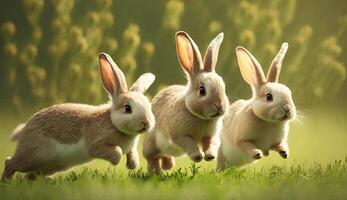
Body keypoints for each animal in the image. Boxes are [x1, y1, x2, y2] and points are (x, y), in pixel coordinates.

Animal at [1, 52, 156, 180]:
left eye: (149, 106)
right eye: (127, 108)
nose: (146, 123)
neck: (113, 122)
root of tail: (24, 129)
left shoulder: (131, 148)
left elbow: (132, 154)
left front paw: (131, 165)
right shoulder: (95, 144)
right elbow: (116, 153)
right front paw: (118, 161)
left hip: (48, 165)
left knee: (29, 175)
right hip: (34, 155)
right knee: (10, 163)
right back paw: (6, 182)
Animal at [143, 30, 230, 173]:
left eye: (223, 87)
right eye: (202, 90)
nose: (220, 106)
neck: (200, 117)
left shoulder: (210, 136)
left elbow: (211, 143)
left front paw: (210, 156)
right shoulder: (179, 135)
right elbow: (189, 143)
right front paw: (198, 156)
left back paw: (168, 165)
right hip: (152, 144)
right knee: (152, 159)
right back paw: (156, 173)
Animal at [218, 42, 296, 170]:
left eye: (289, 94)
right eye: (269, 96)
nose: (287, 109)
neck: (269, 122)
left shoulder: (276, 142)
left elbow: (279, 145)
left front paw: (285, 153)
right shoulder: (241, 139)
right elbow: (246, 145)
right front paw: (257, 153)